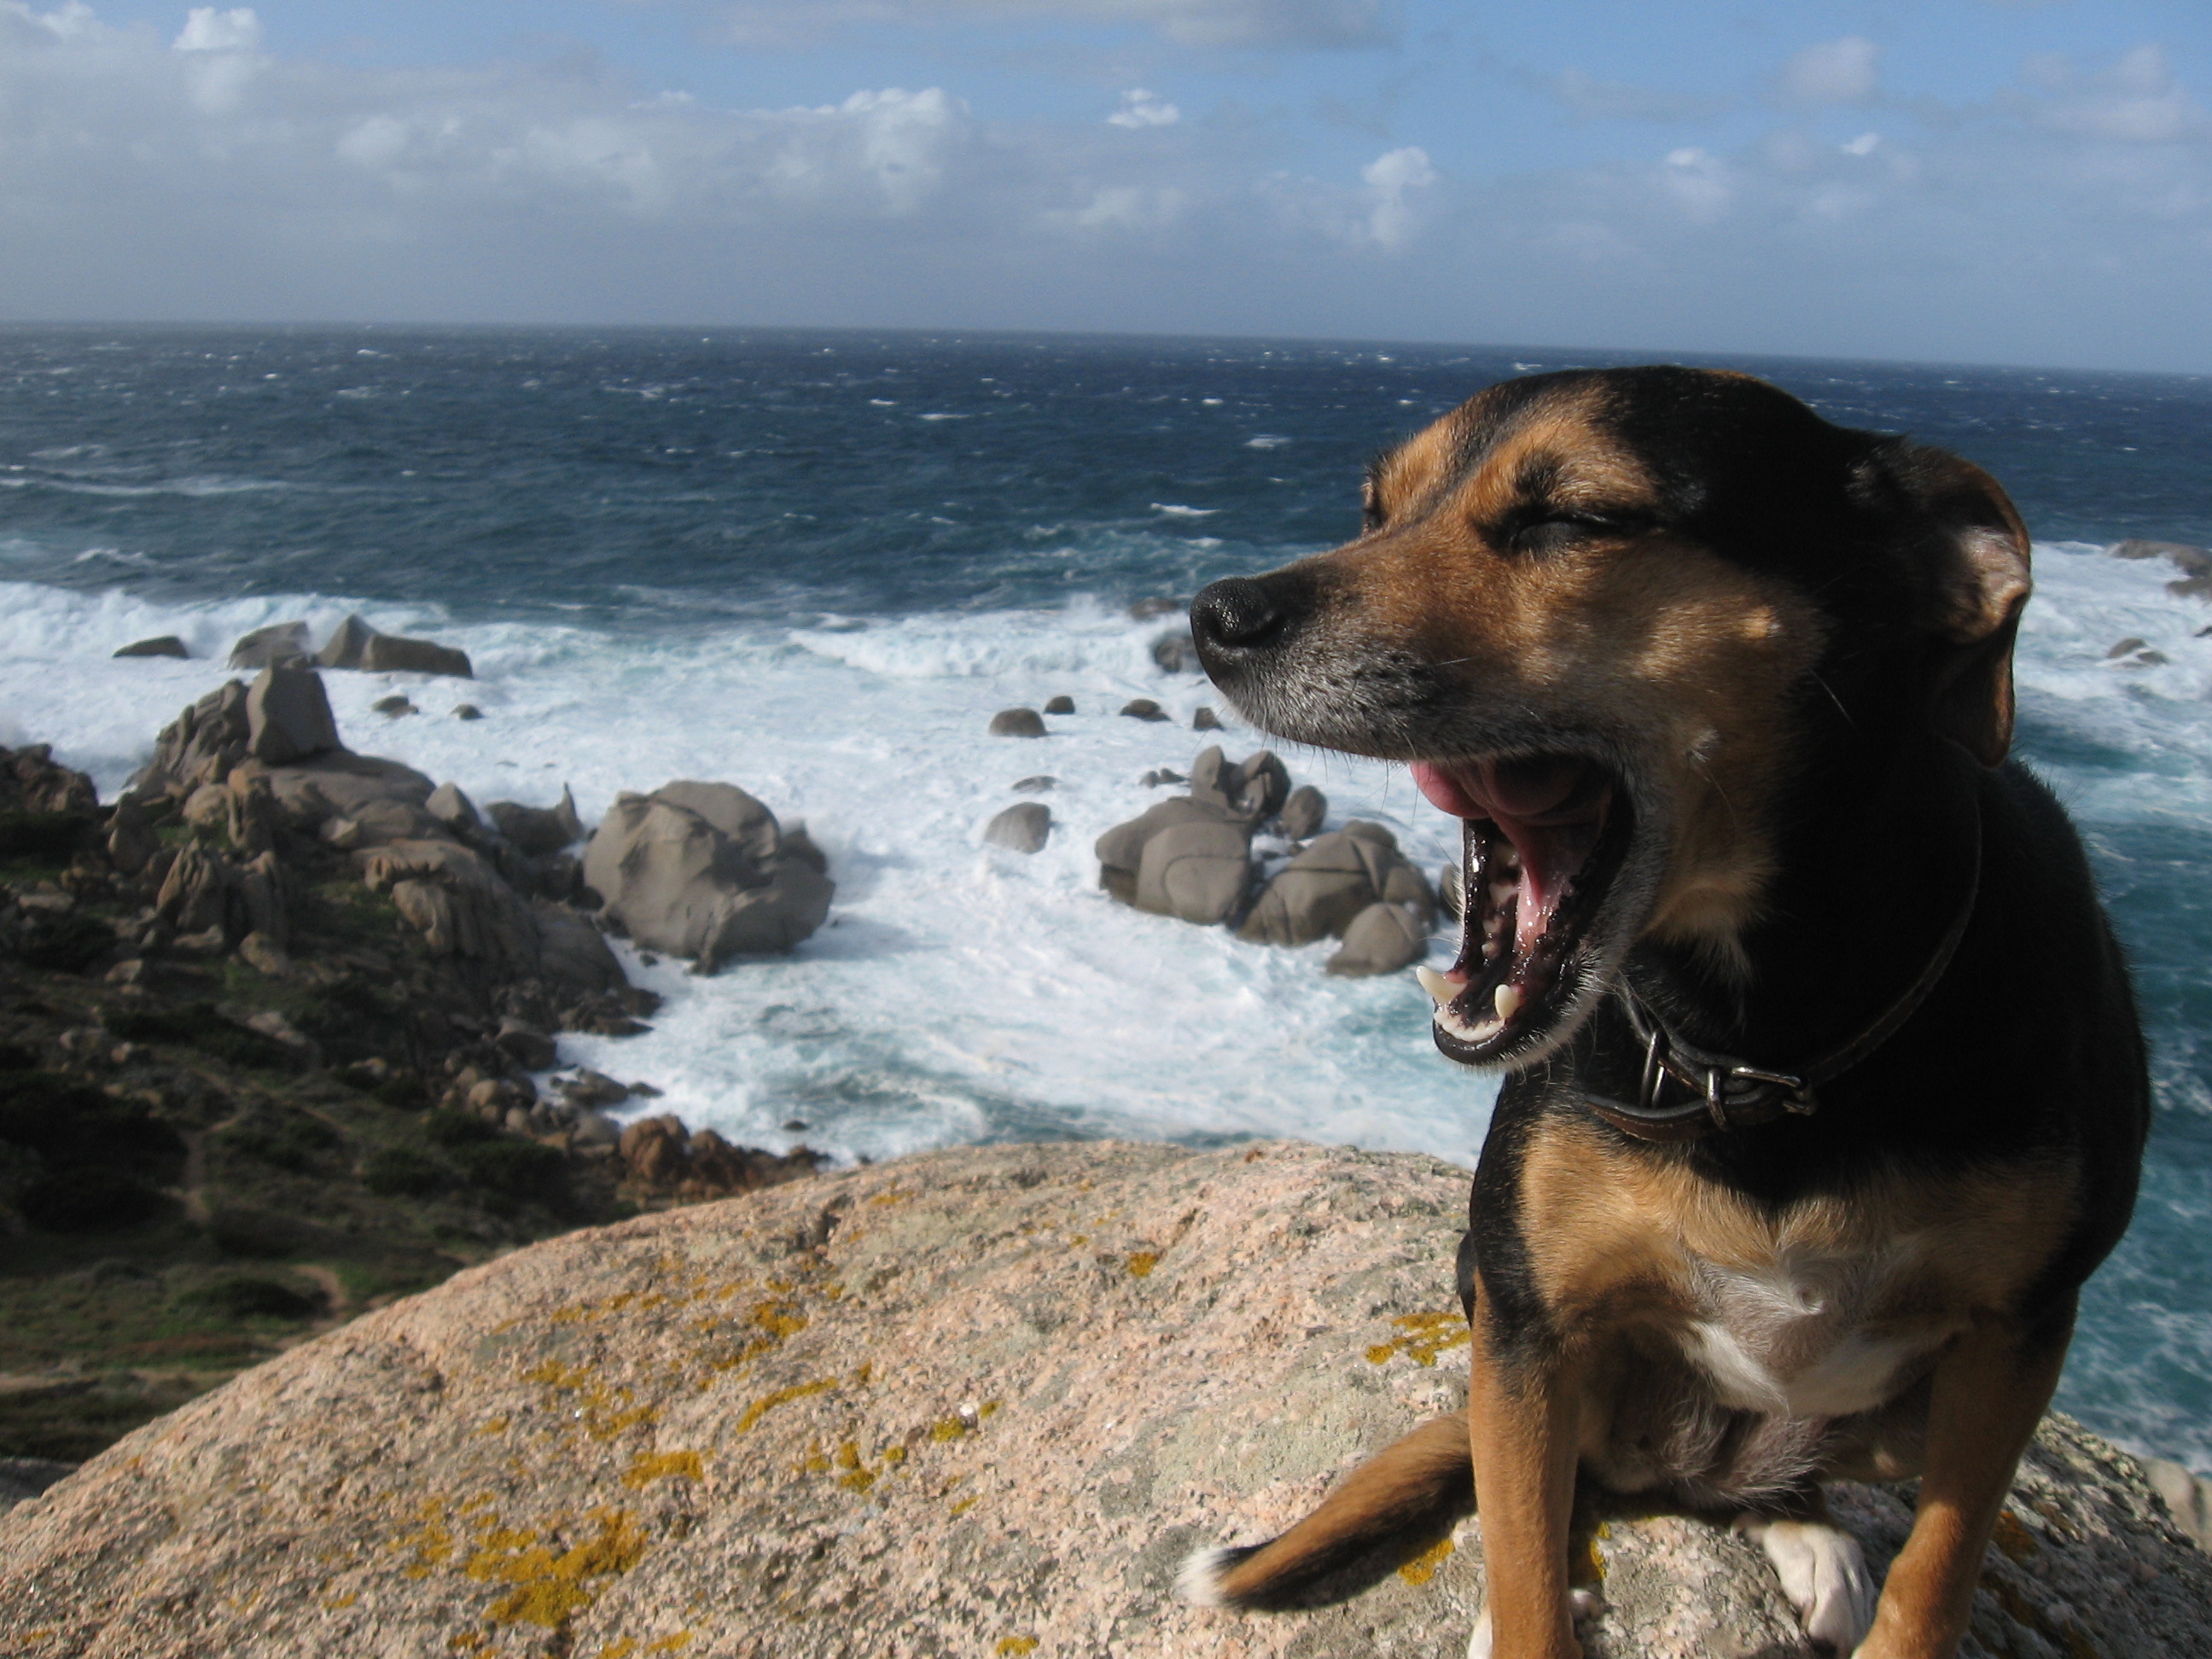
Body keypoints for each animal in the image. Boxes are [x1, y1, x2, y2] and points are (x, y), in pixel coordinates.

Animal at [1185, 369, 2150, 1659]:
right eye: (1376, 509)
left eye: (1575, 519)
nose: (1216, 615)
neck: (1757, 1047)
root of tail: (1694, 1461)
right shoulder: (1529, 1325)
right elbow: (1526, 1558)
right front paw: (1525, 1608)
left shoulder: (2019, 1341)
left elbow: (1939, 1571)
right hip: (1503, 1314)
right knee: (1564, 1486)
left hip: (1897, 1413)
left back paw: (1807, 1532)